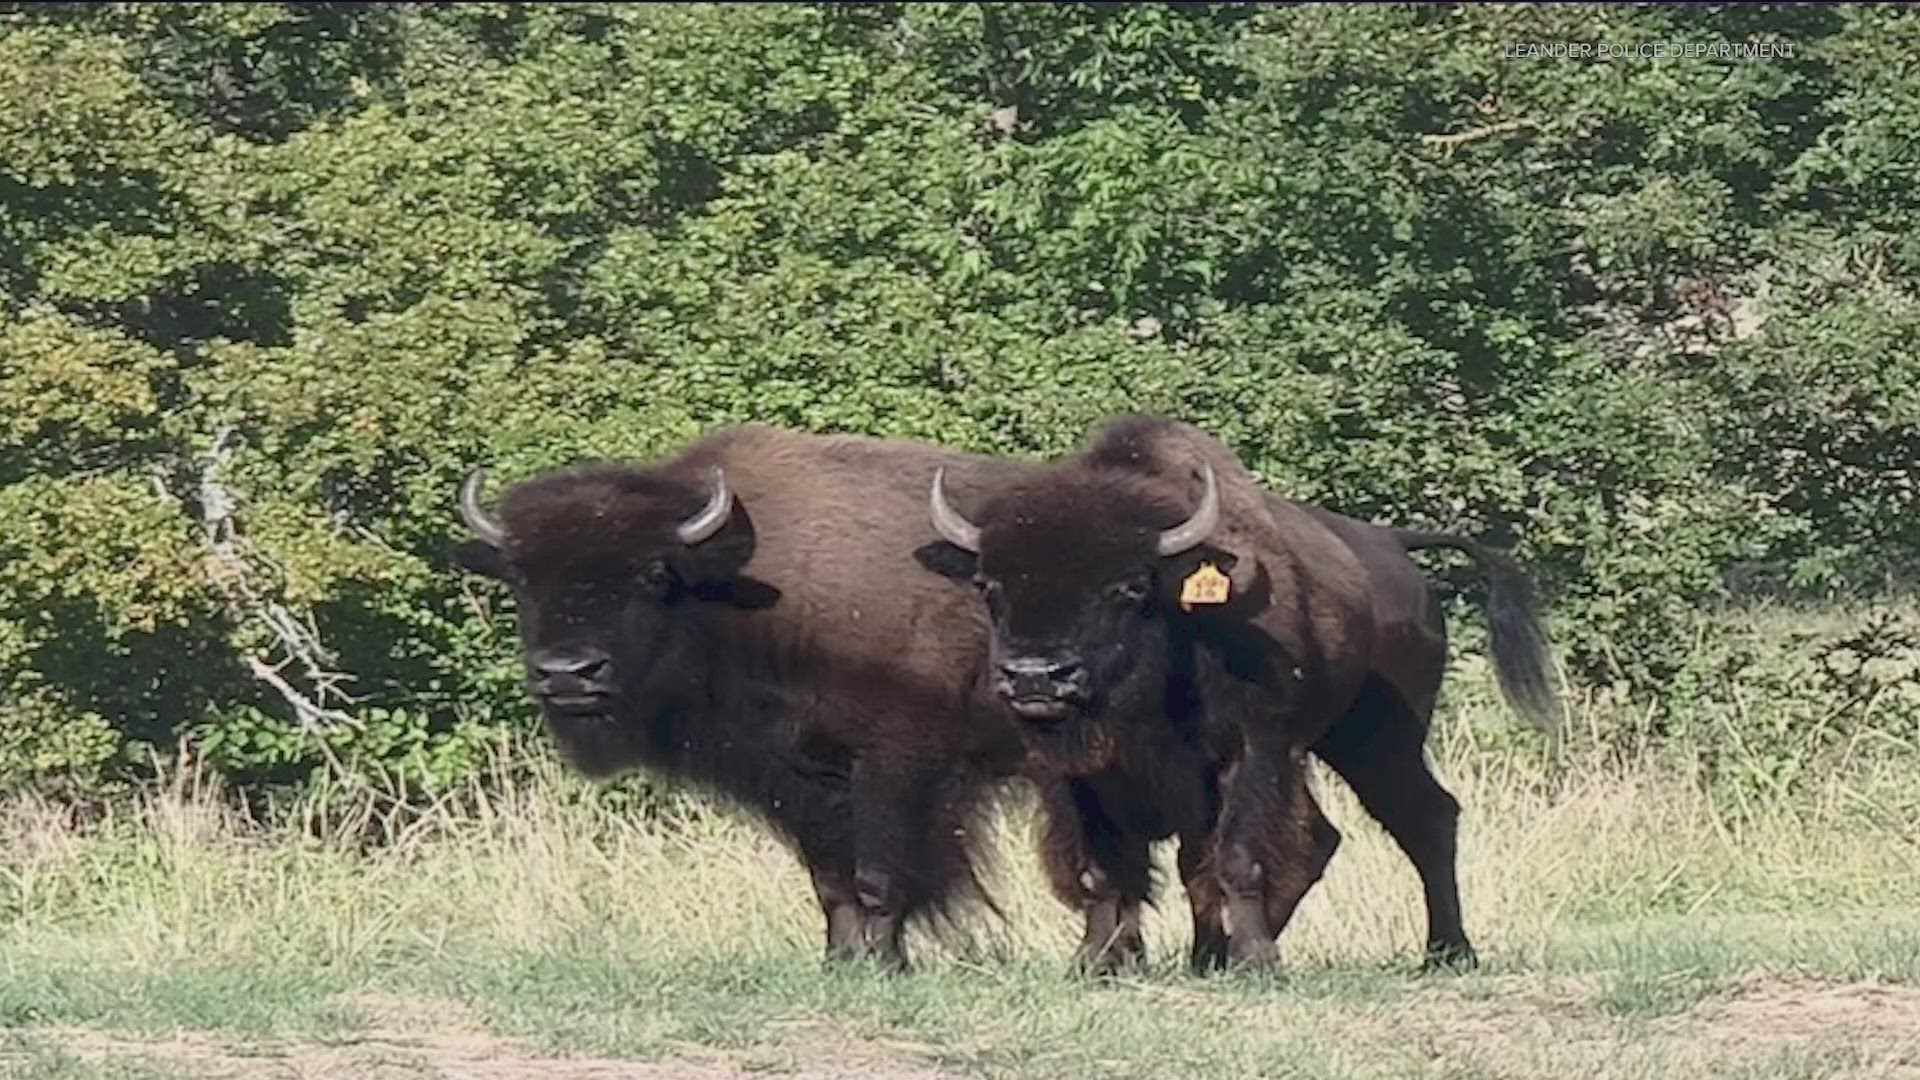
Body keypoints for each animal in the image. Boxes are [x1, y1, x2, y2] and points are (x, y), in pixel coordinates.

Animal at [917, 411, 1559, 968]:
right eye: (989, 584)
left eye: (1128, 587)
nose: (1035, 676)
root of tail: (1394, 548)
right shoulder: (1075, 777)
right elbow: (1107, 870)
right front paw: (1099, 960)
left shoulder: (1251, 750)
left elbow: (1235, 859)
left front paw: (1256, 960)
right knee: (1324, 838)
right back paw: (1211, 955)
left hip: (1381, 741)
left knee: (1424, 819)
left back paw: (1447, 951)